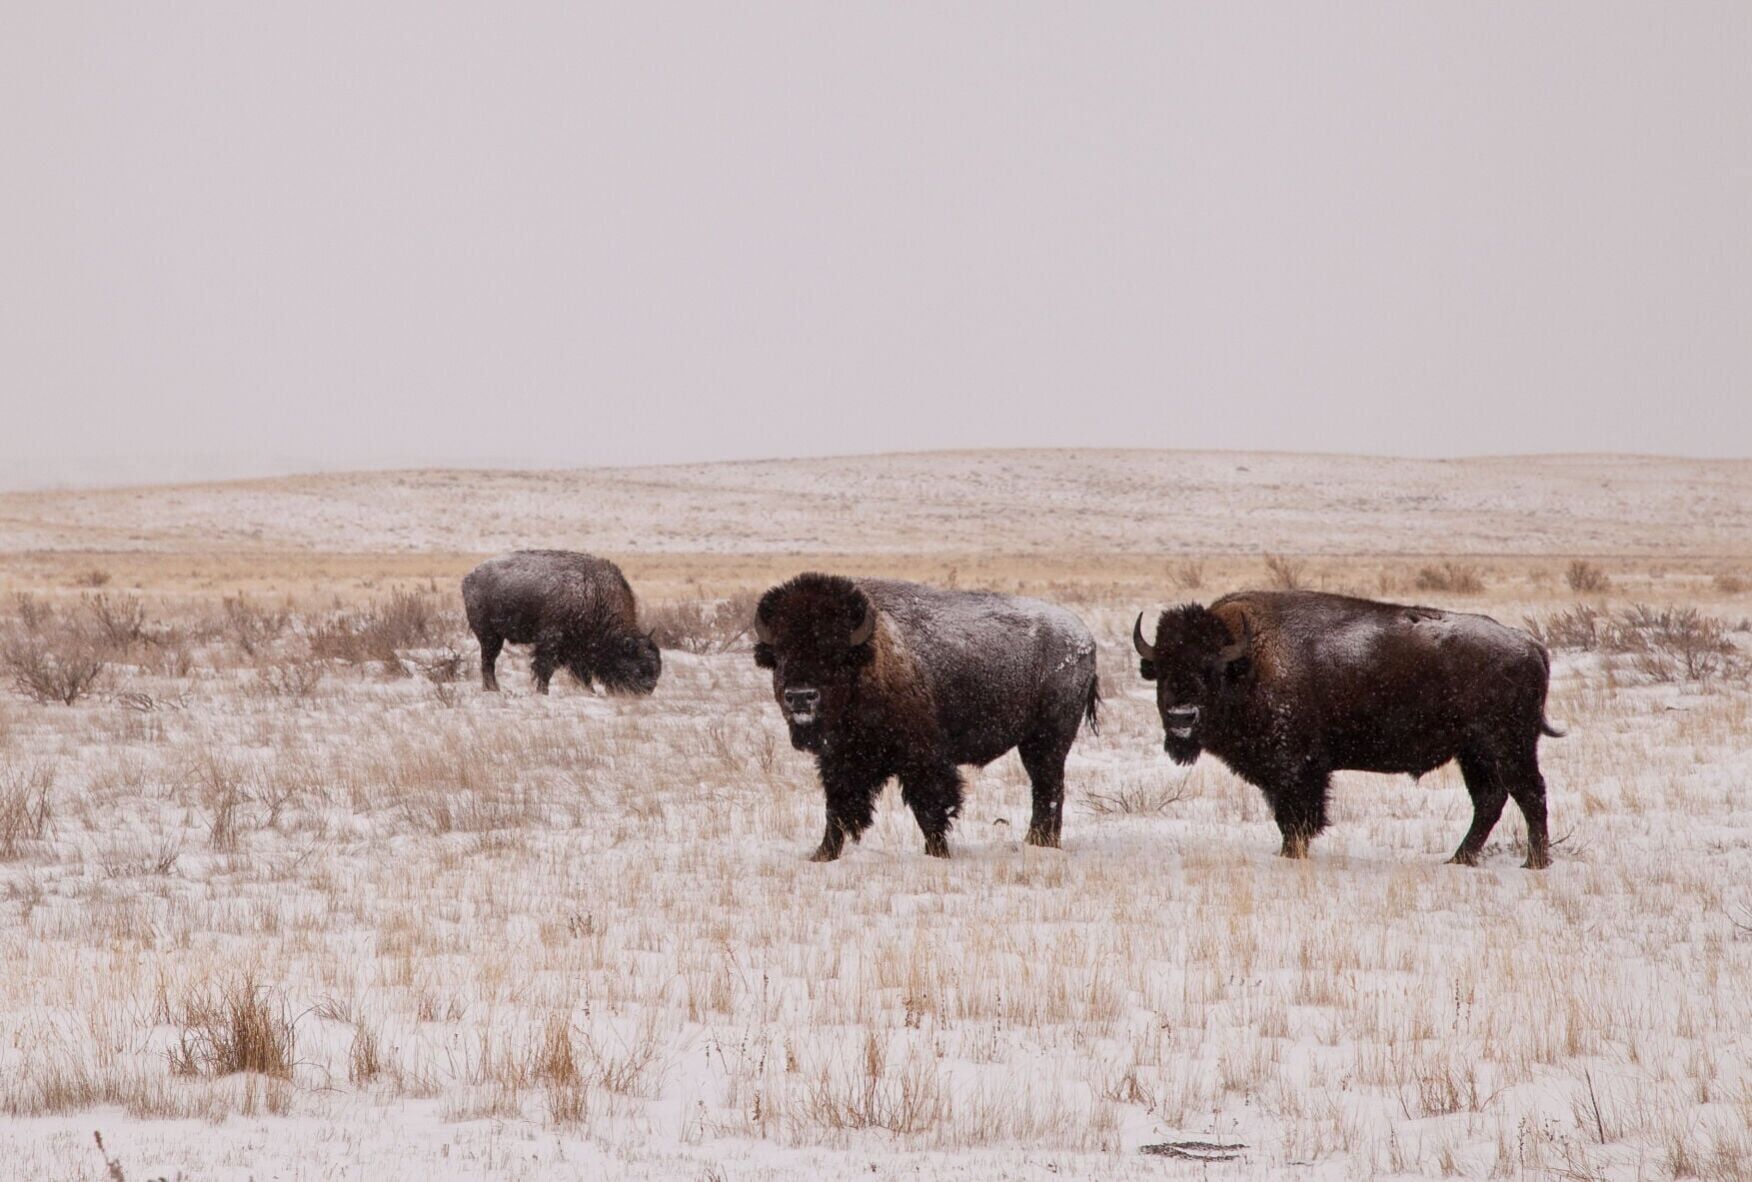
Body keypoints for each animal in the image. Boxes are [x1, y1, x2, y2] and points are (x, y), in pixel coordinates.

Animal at [462, 550, 660, 695]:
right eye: (638, 668)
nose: (647, 690)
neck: (595, 596)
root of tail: (469, 578)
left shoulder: (579, 648)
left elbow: (582, 672)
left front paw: (590, 691)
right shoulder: (551, 641)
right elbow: (545, 667)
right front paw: (543, 691)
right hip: (490, 636)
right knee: (488, 661)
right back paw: (493, 688)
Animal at [754, 573, 1100, 860]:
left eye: (834, 653)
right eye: (780, 654)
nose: (801, 696)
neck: (870, 658)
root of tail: (1085, 636)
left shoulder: (922, 758)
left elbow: (929, 807)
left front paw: (938, 853)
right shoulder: (840, 759)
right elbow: (837, 808)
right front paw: (822, 856)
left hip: (1047, 740)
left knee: (1048, 788)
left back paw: (1040, 843)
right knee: (1047, 789)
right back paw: (1040, 843)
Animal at [1133, 590, 1558, 868]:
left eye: (1210, 669)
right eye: (1164, 669)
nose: (1182, 716)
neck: (1249, 663)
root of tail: (1529, 645)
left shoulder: (1296, 770)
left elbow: (1297, 819)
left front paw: (1290, 855)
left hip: (1508, 747)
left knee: (1529, 794)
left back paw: (1533, 863)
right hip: (1474, 754)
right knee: (1490, 800)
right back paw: (1459, 859)